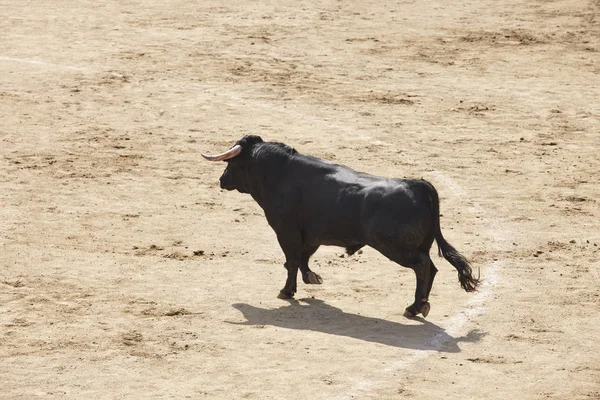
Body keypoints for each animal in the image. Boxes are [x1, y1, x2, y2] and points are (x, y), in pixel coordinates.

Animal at [204, 136, 480, 318]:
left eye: (232, 164)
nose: (221, 180)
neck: (278, 174)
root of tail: (419, 185)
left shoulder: (286, 231)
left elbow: (291, 260)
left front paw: (287, 291)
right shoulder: (312, 234)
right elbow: (303, 257)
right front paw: (311, 277)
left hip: (394, 247)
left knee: (423, 267)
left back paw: (414, 308)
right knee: (431, 269)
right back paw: (419, 306)